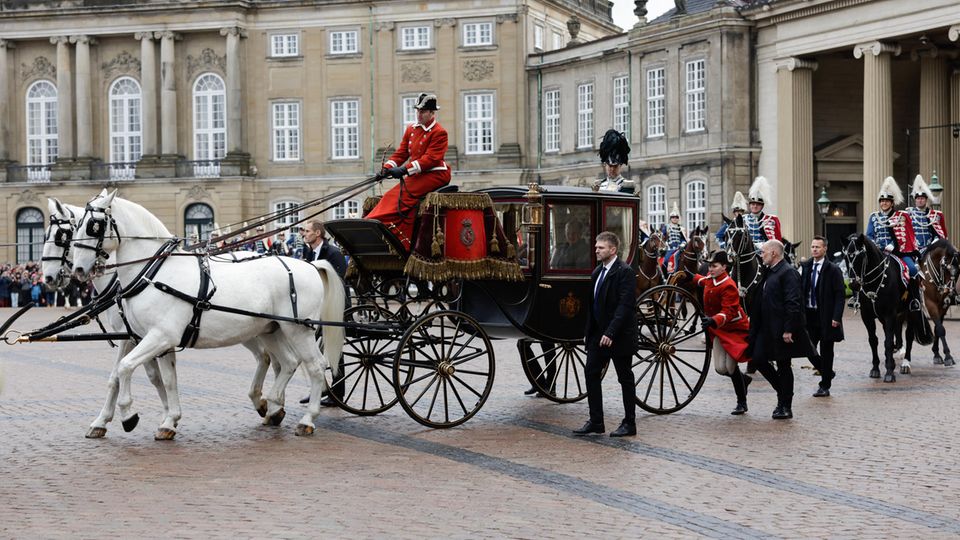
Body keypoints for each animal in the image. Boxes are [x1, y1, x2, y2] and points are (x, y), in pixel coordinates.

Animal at [69, 192, 344, 436]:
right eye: (76, 226)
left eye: (93, 225)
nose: (78, 269)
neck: (155, 273)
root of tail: (310, 265)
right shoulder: (155, 341)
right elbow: (166, 380)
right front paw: (169, 421)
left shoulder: (159, 336)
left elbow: (124, 368)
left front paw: (128, 415)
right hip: (271, 329)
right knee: (287, 362)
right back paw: (273, 404)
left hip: (298, 330)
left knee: (316, 366)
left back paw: (306, 419)